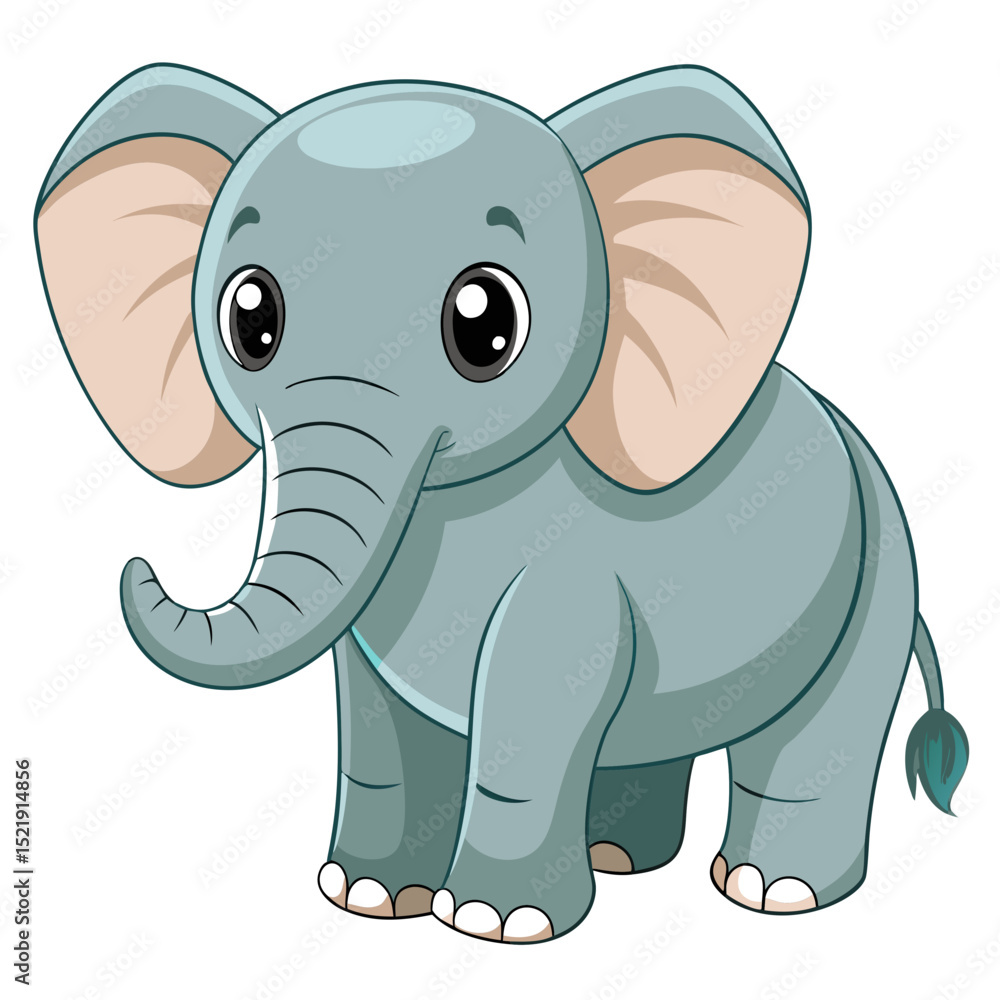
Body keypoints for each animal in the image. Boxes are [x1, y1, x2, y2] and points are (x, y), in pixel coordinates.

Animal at [36, 62, 969, 944]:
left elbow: (535, 704)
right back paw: (621, 857)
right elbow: (376, 716)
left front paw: (493, 922)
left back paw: (770, 892)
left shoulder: (571, 577)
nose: (138, 566)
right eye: (250, 318)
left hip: (881, 575)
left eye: (486, 326)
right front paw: (367, 898)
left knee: (816, 736)